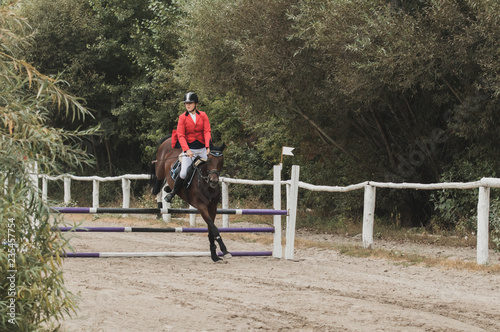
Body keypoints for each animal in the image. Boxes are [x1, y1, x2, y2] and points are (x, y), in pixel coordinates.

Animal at [151, 136, 231, 264]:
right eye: (209, 160)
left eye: (221, 161)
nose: (213, 181)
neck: (205, 184)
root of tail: (168, 140)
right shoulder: (201, 207)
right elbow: (214, 229)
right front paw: (224, 250)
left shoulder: (212, 208)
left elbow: (211, 229)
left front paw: (214, 255)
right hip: (159, 170)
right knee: (157, 187)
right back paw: (161, 206)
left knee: (165, 187)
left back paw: (169, 191)